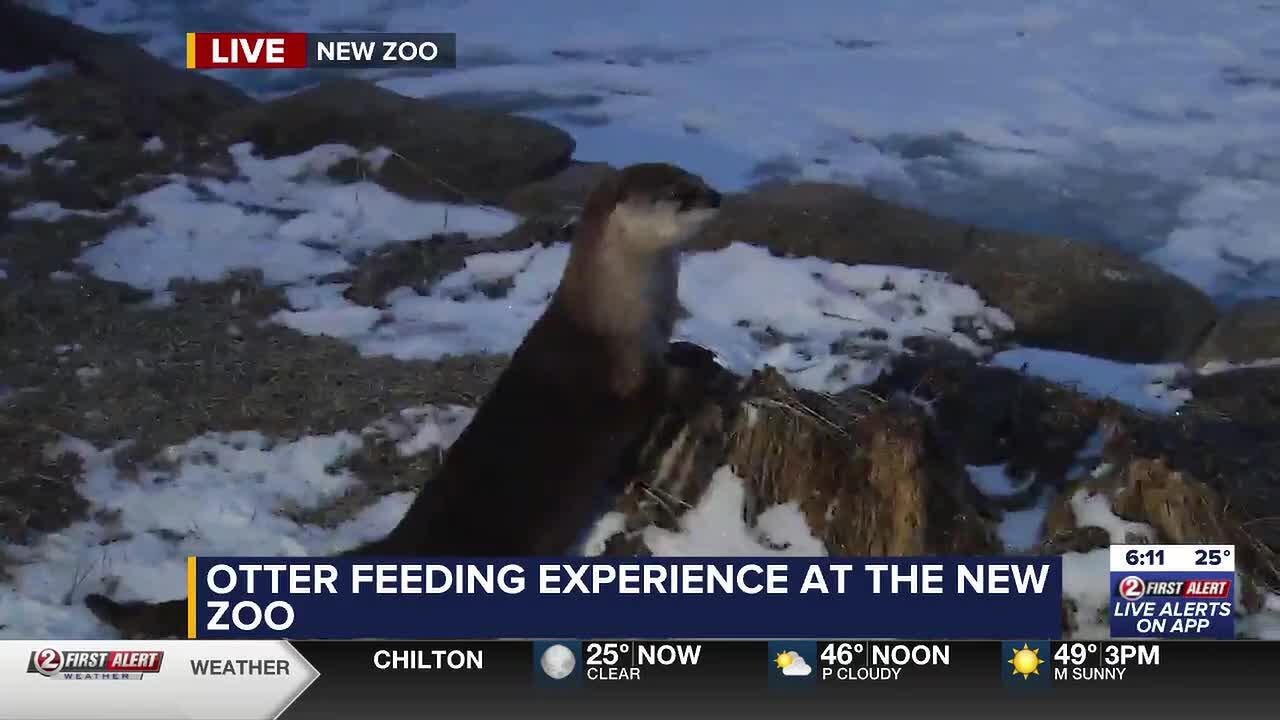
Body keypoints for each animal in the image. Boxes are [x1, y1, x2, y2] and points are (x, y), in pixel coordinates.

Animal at [84, 162, 723, 636]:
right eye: (680, 193)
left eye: (697, 178)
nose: (717, 196)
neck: (618, 316)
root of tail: (399, 544)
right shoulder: (615, 380)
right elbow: (654, 390)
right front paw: (694, 368)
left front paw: (694, 346)